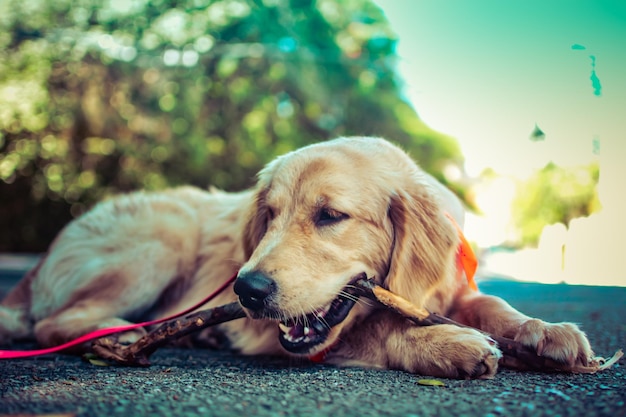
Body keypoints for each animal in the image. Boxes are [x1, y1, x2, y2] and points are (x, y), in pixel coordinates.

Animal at [0, 138, 588, 378]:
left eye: (330, 215)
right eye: (270, 215)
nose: (246, 291)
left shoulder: (453, 290)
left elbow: (492, 305)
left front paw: (546, 331)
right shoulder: (289, 339)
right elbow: (378, 329)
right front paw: (447, 345)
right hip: (165, 234)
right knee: (56, 321)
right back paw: (117, 336)